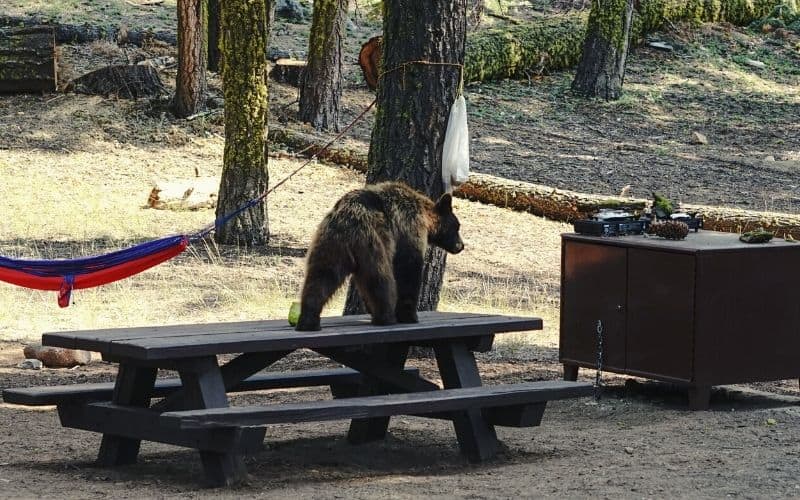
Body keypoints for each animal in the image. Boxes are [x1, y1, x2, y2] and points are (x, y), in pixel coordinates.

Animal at [296, 181, 466, 332]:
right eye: (457, 226)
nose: (461, 246)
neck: (425, 218)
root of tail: (347, 221)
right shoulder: (409, 229)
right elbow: (409, 269)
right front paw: (409, 315)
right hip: (374, 242)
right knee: (380, 279)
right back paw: (385, 316)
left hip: (330, 245)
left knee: (320, 278)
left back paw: (308, 321)